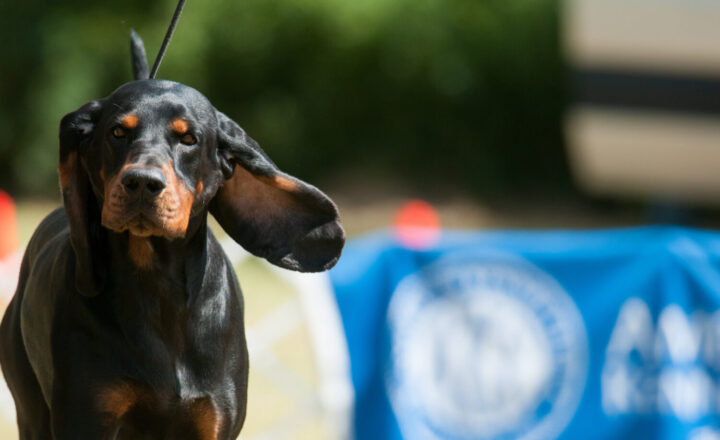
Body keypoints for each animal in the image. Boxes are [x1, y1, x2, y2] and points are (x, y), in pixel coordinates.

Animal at [0, 29, 346, 438]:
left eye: (189, 139)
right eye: (118, 132)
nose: (142, 183)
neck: (157, 287)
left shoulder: (213, 420)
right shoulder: (87, 418)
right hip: (31, 411)